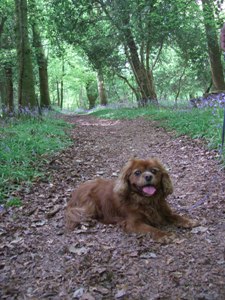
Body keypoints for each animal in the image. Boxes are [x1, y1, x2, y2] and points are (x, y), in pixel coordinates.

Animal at [65, 159, 197, 241]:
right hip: (89, 205)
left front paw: (189, 221)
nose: (148, 176)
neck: (147, 200)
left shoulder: (164, 211)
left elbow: (176, 216)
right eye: (137, 172)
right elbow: (150, 229)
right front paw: (164, 235)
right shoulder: (133, 223)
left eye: (154, 171)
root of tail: (75, 191)